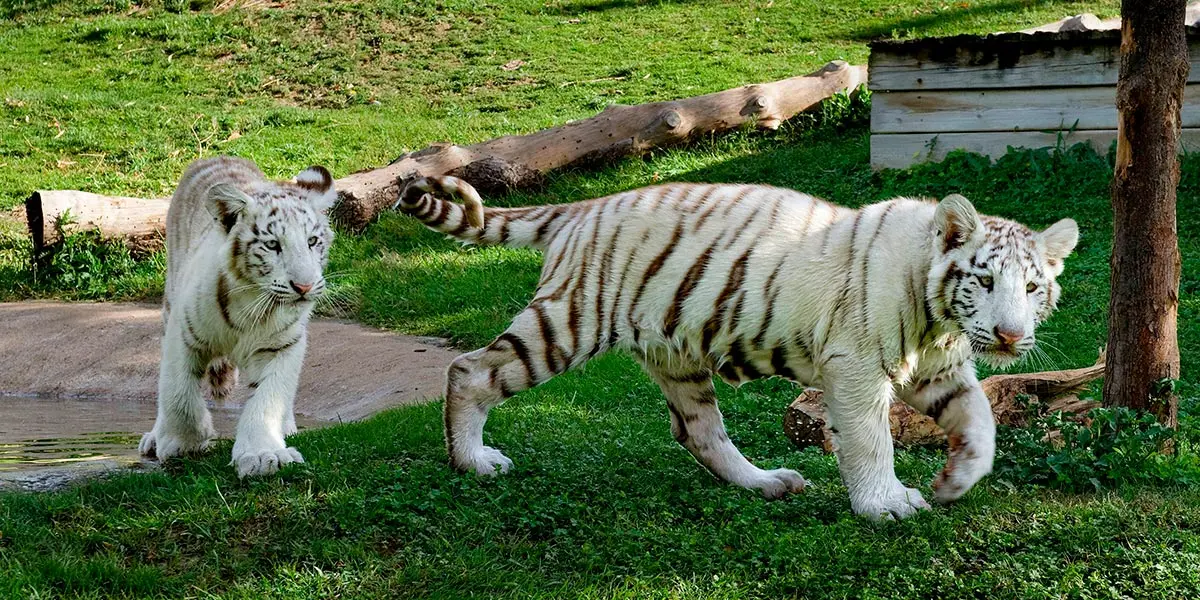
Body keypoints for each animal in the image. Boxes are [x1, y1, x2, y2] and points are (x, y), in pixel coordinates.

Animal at [138, 156, 336, 478]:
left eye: (312, 241)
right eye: (272, 245)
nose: (304, 287)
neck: (252, 304)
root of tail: (218, 157)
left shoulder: (282, 345)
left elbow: (269, 398)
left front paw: (264, 454)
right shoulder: (182, 333)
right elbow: (178, 392)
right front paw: (184, 442)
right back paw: (156, 436)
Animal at [395, 176, 1078, 520]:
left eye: (1032, 287)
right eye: (984, 281)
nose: (1011, 336)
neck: (939, 319)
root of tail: (586, 207)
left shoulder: (940, 371)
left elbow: (983, 420)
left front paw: (956, 481)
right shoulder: (855, 368)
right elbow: (869, 441)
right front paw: (884, 505)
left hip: (676, 354)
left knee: (697, 431)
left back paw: (766, 483)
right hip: (568, 323)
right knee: (469, 371)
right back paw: (472, 462)